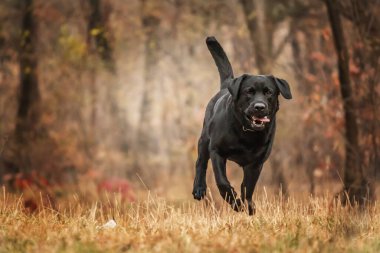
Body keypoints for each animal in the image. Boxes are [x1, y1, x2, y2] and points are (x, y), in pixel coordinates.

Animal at [191, 36, 292, 214]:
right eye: (249, 91)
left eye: (269, 92)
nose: (259, 107)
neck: (246, 133)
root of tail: (226, 85)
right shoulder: (217, 151)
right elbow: (222, 182)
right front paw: (235, 202)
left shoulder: (256, 163)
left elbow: (248, 187)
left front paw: (249, 207)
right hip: (204, 139)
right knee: (200, 163)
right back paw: (199, 188)